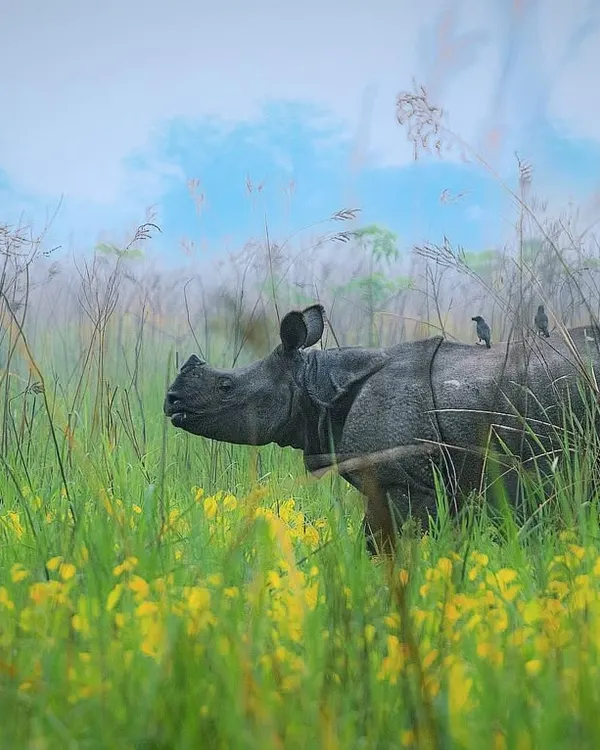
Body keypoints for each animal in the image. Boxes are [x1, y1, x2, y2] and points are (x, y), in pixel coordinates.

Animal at [164, 303, 600, 552]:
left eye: (226, 387)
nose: (170, 402)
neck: (315, 384)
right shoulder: (391, 480)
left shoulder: (405, 481)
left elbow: (389, 545)